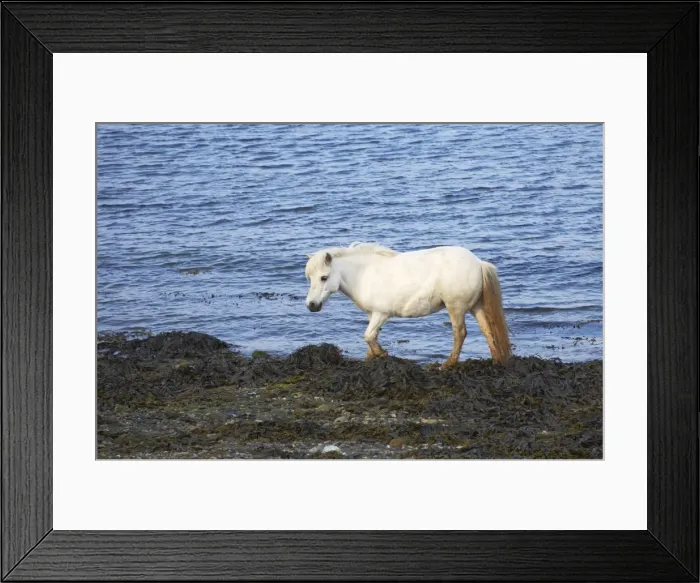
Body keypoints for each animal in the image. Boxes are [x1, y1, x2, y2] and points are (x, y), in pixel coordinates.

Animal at [304, 242, 511, 369]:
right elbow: (372, 338)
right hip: (475, 306)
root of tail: (478, 263)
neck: (365, 274)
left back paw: (447, 365)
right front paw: (370, 359)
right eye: (310, 278)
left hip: (456, 307)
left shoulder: (381, 314)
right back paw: (496, 361)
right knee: (487, 330)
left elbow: (369, 336)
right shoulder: (373, 315)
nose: (311, 305)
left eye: (324, 277)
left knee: (460, 333)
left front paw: (383, 355)